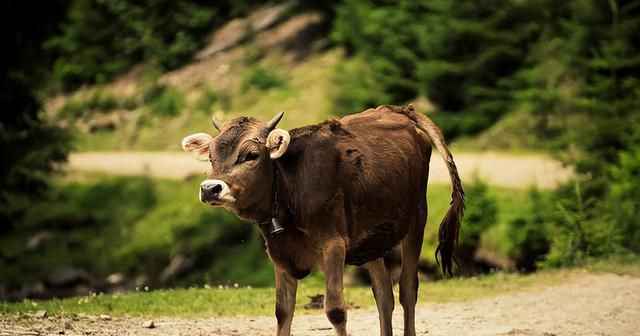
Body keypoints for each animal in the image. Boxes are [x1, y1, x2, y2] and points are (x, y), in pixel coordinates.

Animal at [181, 105, 464, 336]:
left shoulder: (333, 245)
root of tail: (398, 109)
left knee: (407, 288)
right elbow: (283, 310)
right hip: (371, 237)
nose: (210, 188)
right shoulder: (279, 252)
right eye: (211, 157)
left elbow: (336, 310)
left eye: (251, 154)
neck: (292, 186)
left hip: (416, 220)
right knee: (384, 294)